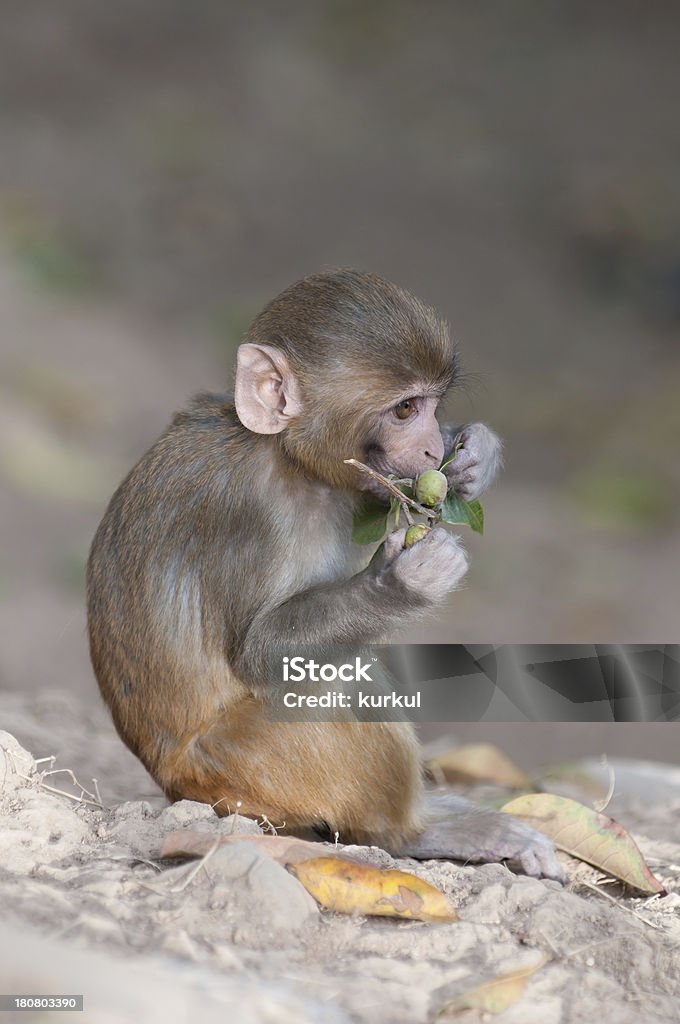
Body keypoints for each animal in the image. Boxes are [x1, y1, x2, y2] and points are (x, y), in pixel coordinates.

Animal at [85, 270, 561, 880]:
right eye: (405, 409)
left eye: (432, 406)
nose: (433, 446)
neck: (283, 456)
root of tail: (172, 786)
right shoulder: (251, 515)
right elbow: (260, 654)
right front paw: (401, 582)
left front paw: (475, 453)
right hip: (238, 775)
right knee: (334, 678)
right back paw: (417, 831)